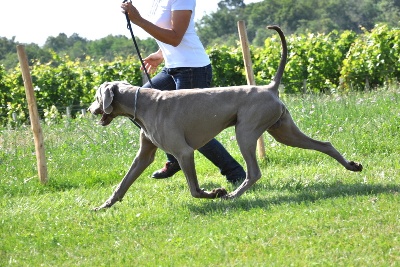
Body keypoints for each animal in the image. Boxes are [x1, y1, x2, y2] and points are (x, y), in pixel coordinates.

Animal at [87, 26, 362, 211]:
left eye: (96, 96)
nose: (89, 110)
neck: (143, 104)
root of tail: (270, 88)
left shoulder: (184, 152)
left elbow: (194, 189)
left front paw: (216, 192)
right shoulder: (144, 155)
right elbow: (124, 182)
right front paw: (103, 206)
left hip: (246, 131)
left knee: (254, 172)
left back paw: (232, 195)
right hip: (283, 130)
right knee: (323, 144)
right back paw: (352, 165)